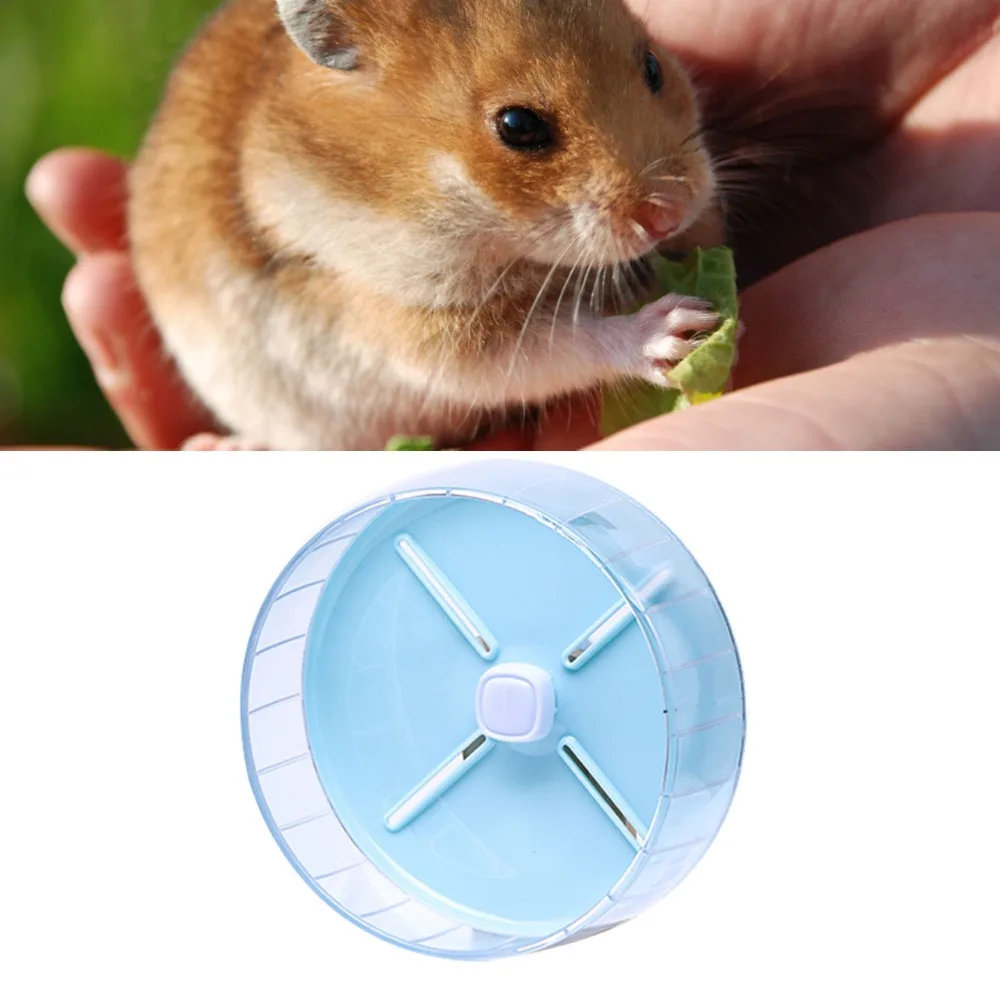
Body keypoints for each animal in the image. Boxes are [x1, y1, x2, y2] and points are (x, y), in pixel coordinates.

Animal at [128, 0, 725, 449]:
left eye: (653, 67)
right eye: (518, 125)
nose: (670, 213)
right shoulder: (424, 329)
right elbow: (560, 344)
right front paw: (681, 329)